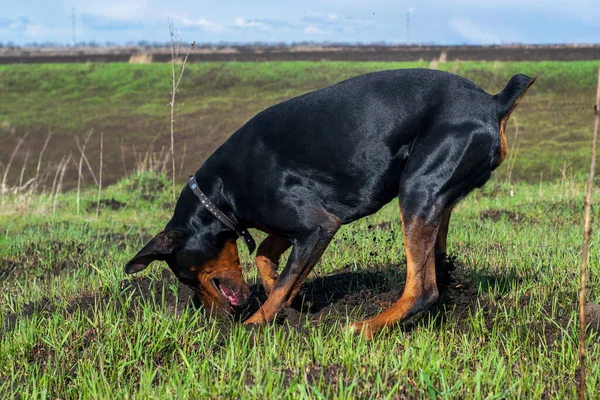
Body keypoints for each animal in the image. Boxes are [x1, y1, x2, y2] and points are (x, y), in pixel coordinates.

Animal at [123, 68, 536, 338]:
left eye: (187, 277)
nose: (216, 320)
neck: (219, 193)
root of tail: (494, 103)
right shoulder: (301, 225)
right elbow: (268, 260)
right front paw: (290, 301)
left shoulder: (318, 225)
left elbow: (281, 279)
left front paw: (255, 326)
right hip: (438, 194)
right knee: (436, 264)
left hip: (417, 190)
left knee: (422, 290)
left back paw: (364, 327)